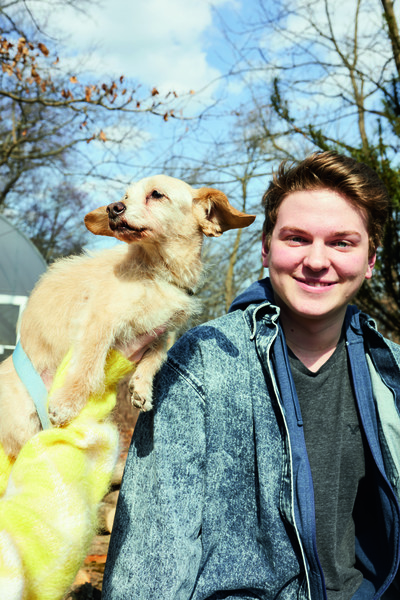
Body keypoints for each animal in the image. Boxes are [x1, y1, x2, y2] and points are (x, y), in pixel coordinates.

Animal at [0, 176, 255, 458]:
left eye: (156, 195)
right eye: (125, 196)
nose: (113, 207)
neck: (157, 272)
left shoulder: (161, 332)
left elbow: (156, 358)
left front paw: (142, 388)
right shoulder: (99, 319)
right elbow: (88, 363)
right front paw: (67, 402)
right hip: (23, 423)